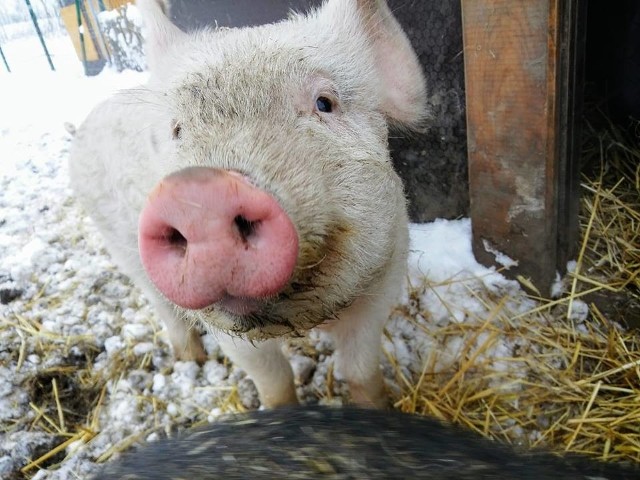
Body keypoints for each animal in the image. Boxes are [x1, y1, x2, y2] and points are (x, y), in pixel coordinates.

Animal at [70, 0, 428, 408]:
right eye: (177, 129)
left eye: (325, 102)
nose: (201, 193)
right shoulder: (222, 325)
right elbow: (272, 378)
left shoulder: (383, 283)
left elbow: (361, 370)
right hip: (123, 250)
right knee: (162, 306)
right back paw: (192, 358)